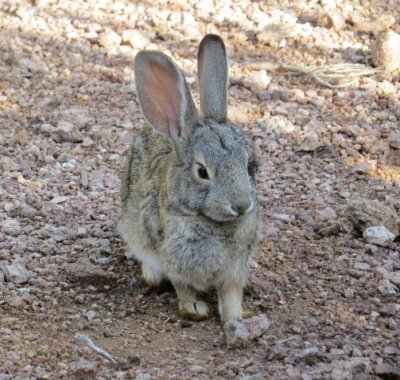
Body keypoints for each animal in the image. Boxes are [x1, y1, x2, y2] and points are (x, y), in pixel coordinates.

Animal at [117, 34, 264, 322]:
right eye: (202, 172)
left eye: (248, 164)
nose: (241, 205)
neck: (213, 223)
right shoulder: (173, 259)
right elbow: (182, 287)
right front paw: (194, 309)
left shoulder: (235, 269)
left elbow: (231, 294)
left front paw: (235, 318)